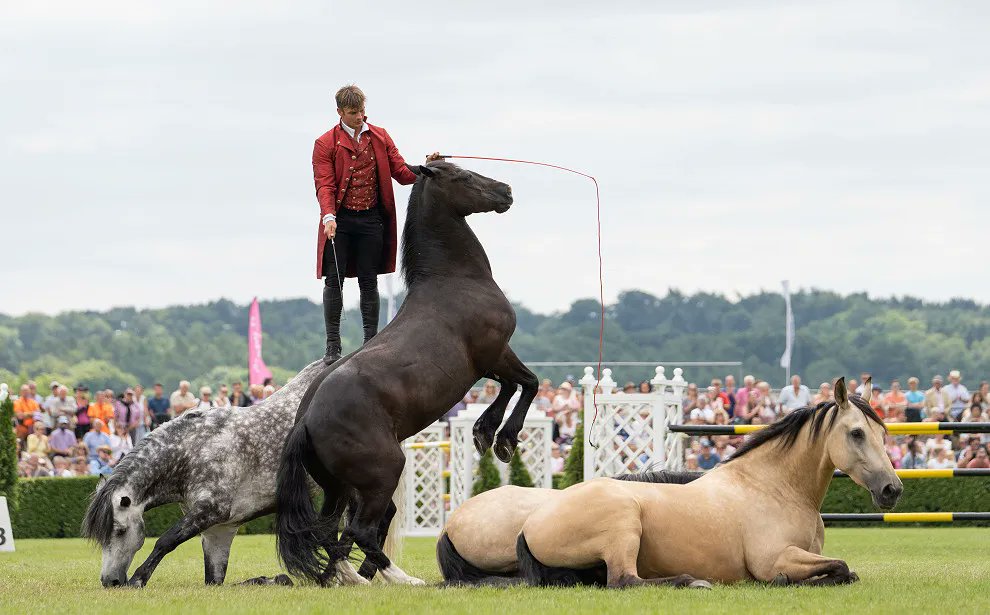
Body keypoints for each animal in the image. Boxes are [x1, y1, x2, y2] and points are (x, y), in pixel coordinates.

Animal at [81, 360, 328, 592]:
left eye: (120, 531)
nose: (110, 581)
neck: (193, 451)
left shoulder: (211, 511)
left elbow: (166, 541)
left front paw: (138, 579)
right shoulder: (218, 530)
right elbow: (215, 580)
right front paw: (273, 579)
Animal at [276, 162, 544, 588]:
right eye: (464, 176)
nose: (506, 190)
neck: (454, 280)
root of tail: (306, 422)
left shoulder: (489, 362)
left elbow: (511, 386)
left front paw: (485, 431)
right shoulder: (493, 353)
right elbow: (527, 383)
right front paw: (500, 438)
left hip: (340, 489)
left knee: (333, 531)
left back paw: (347, 577)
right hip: (384, 474)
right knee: (359, 530)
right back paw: (398, 579)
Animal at [512, 380, 908, 588]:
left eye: (883, 435)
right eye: (856, 433)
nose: (893, 490)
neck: (774, 487)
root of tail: (530, 524)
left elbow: (845, 570)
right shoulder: (776, 558)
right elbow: (839, 566)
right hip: (624, 524)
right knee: (626, 580)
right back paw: (690, 581)